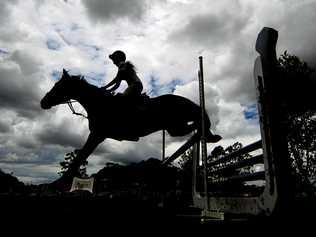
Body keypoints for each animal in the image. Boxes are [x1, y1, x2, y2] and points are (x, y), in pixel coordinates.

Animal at [39, 69, 221, 184]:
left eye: (58, 86)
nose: (43, 102)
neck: (99, 104)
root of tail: (185, 100)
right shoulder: (97, 136)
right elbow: (80, 157)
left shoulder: (97, 135)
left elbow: (79, 157)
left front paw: (57, 184)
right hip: (174, 128)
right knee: (195, 127)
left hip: (177, 124)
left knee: (199, 124)